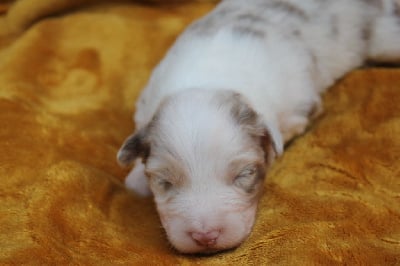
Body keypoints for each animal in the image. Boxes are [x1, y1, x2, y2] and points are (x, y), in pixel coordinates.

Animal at [116, 0, 400, 254]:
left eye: (244, 174)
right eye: (164, 181)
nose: (205, 236)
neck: (210, 78)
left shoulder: (296, 109)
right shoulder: (146, 101)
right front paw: (137, 179)